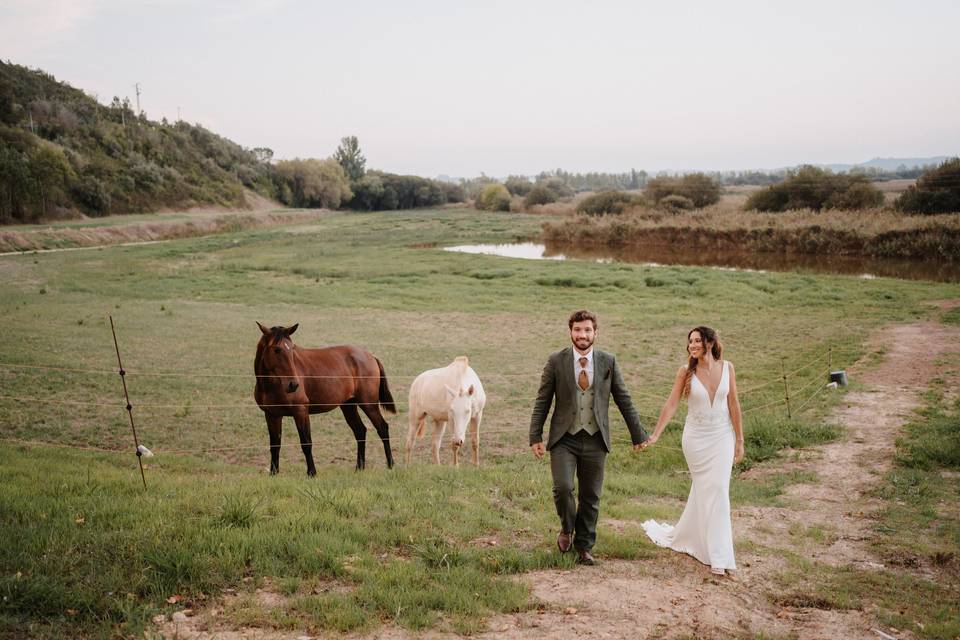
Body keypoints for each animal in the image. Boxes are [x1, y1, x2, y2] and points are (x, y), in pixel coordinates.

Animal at [253, 320, 396, 476]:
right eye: (277, 350)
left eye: (292, 349)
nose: (293, 384)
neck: (272, 384)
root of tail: (370, 356)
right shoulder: (272, 415)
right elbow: (275, 445)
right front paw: (273, 473)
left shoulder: (300, 412)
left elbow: (306, 442)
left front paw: (311, 473)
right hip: (348, 406)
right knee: (360, 431)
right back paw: (359, 468)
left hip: (368, 404)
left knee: (382, 428)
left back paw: (390, 465)